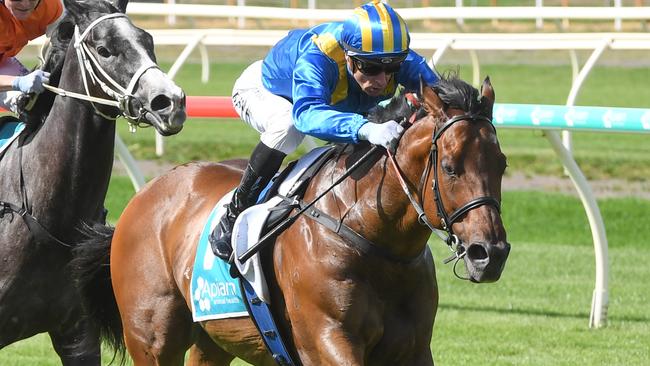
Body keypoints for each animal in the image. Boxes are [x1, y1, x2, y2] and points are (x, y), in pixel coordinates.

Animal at [71, 73, 506, 364]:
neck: (371, 238)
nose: (490, 253)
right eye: (450, 168)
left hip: (213, 336)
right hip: (151, 337)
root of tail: (144, 195)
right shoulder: (327, 341)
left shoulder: (412, 347)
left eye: (501, 164)